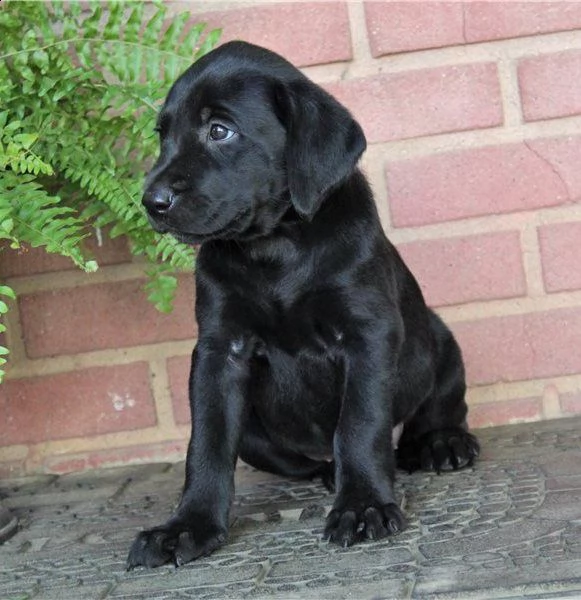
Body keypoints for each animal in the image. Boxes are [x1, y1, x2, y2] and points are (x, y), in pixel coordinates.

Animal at [128, 41, 480, 568]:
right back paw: (331, 472)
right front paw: (188, 526)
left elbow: (360, 424)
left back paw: (441, 443)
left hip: (439, 342)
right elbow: (206, 443)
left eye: (220, 130)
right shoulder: (218, 350)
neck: (274, 248)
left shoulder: (368, 334)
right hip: (259, 437)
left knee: (435, 408)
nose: (152, 201)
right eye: (163, 135)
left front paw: (363, 506)